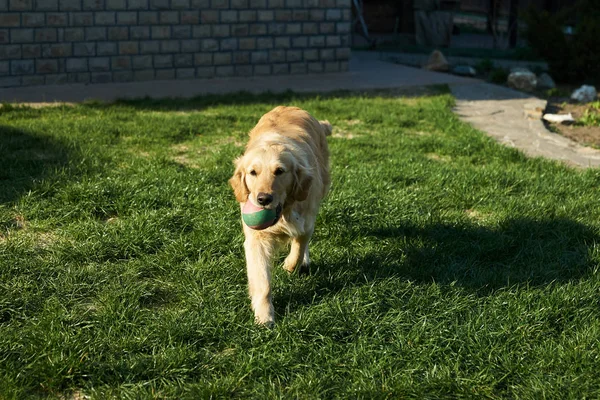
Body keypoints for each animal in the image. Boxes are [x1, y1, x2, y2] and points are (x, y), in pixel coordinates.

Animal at [230, 106, 332, 324]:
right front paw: (264, 315)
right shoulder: (256, 238)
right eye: (253, 172)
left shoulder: (306, 221)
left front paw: (290, 265)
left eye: (279, 171)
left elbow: (299, 246)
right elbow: (262, 281)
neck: (284, 211)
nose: (263, 199)